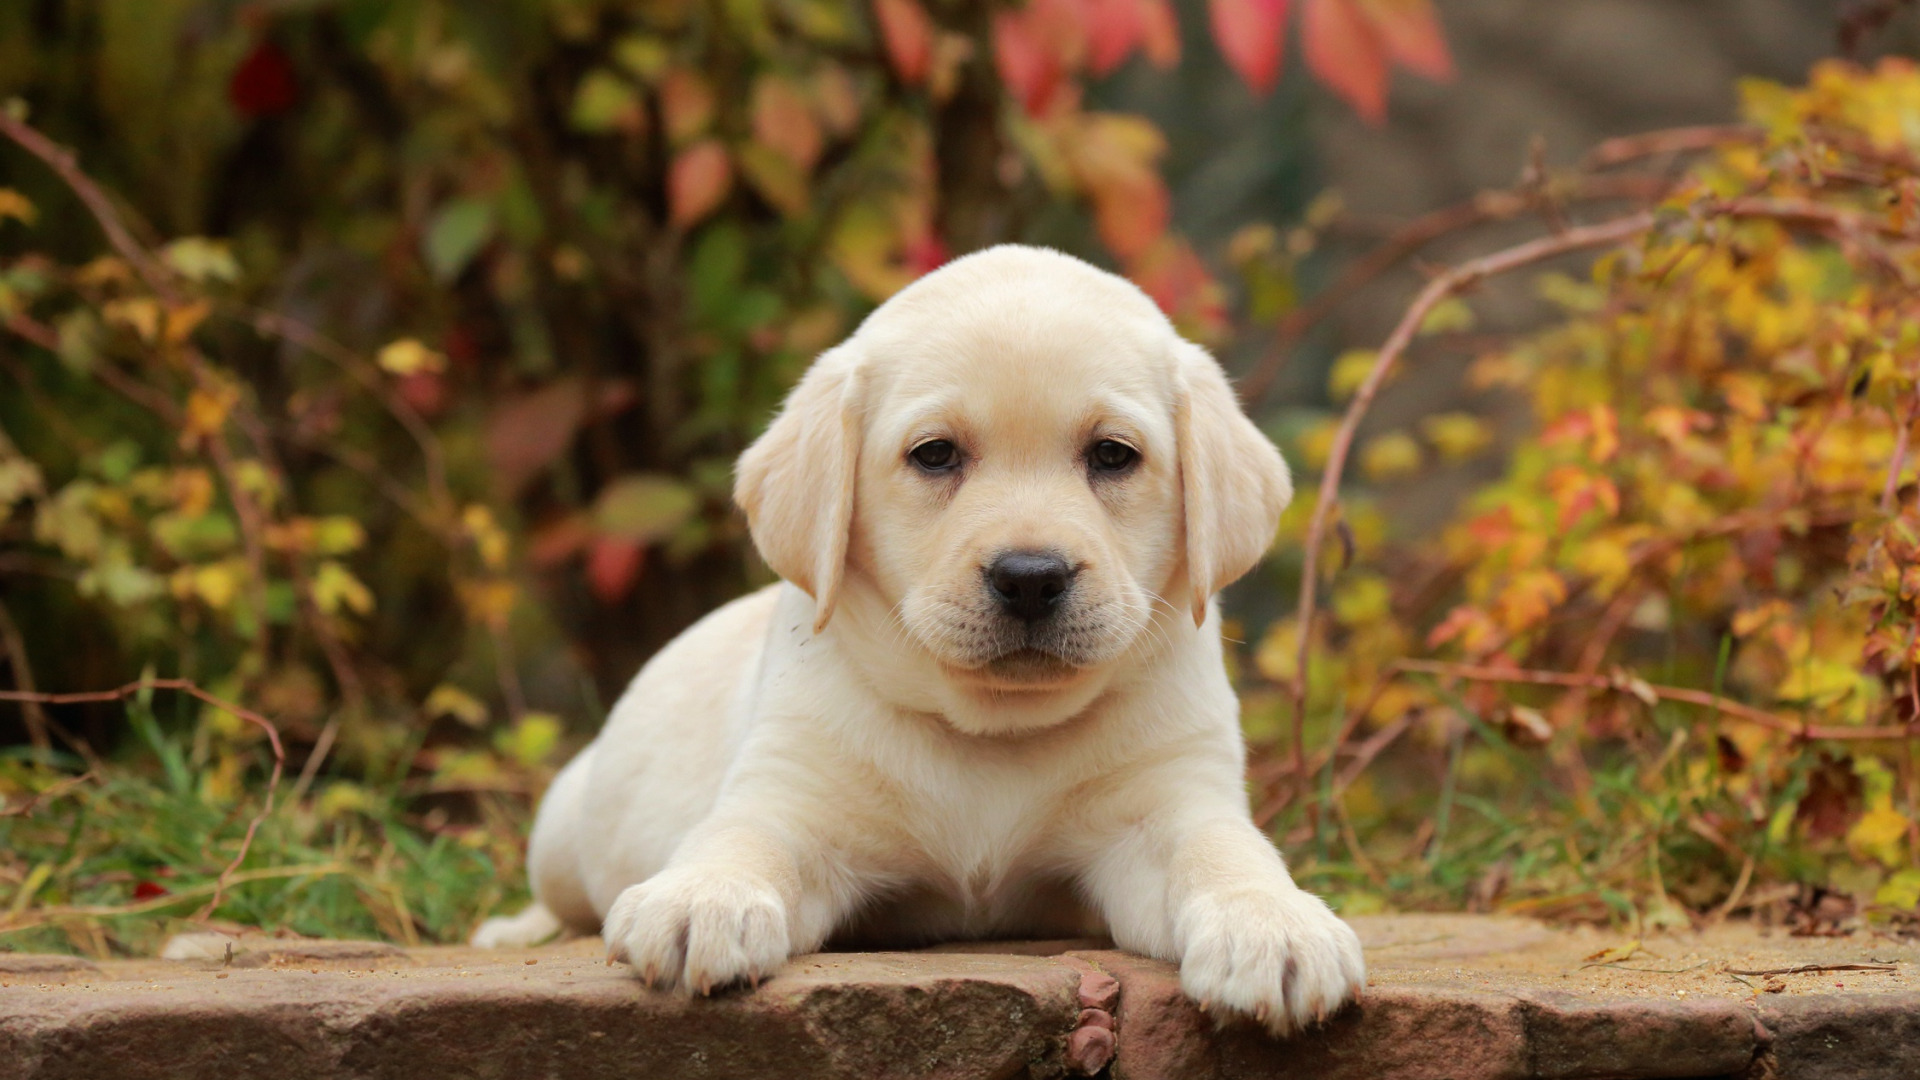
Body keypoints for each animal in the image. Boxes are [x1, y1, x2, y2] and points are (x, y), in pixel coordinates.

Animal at [483, 242, 1382, 1022]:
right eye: (936, 454)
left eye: (1113, 456)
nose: (1031, 576)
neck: (993, 731)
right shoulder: (792, 795)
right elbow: (741, 839)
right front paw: (702, 899)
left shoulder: (1170, 805)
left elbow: (1226, 852)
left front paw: (1273, 925)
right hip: (563, 827)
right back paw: (509, 928)